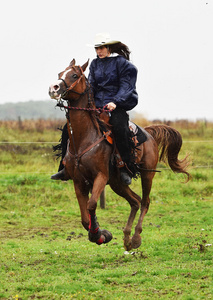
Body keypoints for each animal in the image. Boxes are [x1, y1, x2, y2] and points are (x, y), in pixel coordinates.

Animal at [48, 59, 190, 251]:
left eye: (75, 75)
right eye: (60, 73)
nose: (53, 88)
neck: (85, 137)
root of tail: (149, 134)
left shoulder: (100, 176)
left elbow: (92, 205)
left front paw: (98, 234)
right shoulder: (78, 181)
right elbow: (85, 218)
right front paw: (101, 233)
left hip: (147, 175)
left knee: (145, 202)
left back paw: (136, 238)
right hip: (117, 183)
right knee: (135, 201)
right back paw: (127, 238)